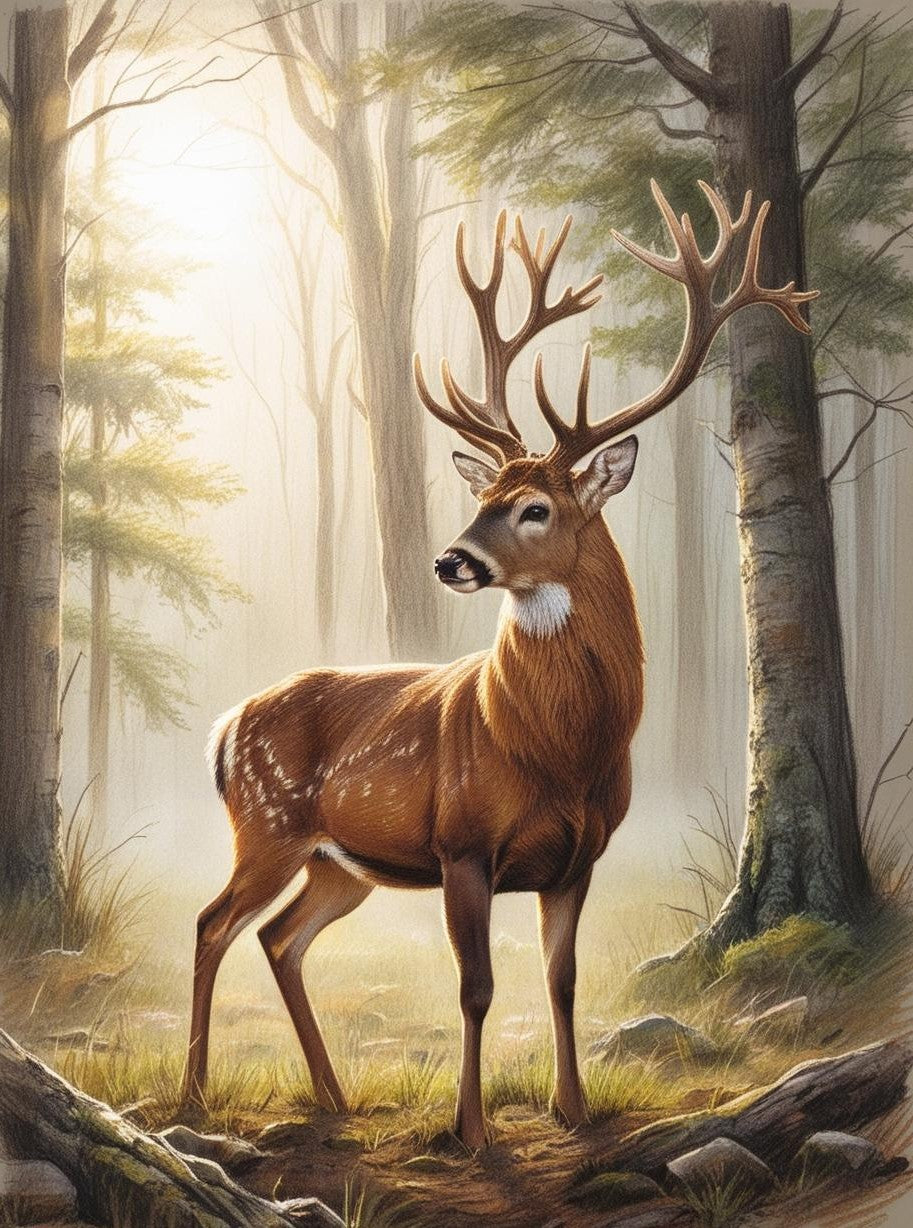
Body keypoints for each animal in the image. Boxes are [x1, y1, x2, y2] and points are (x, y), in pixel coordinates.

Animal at [182, 180, 815, 1149]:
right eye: (481, 495)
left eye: (533, 508)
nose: (450, 560)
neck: (556, 750)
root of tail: (225, 727)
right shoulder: (462, 842)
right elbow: (475, 988)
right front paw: (471, 1130)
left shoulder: (580, 857)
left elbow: (561, 980)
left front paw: (575, 1110)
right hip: (268, 821)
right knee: (213, 924)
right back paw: (195, 1094)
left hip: (338, 863)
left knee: (280, 938)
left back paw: (332, 1096)